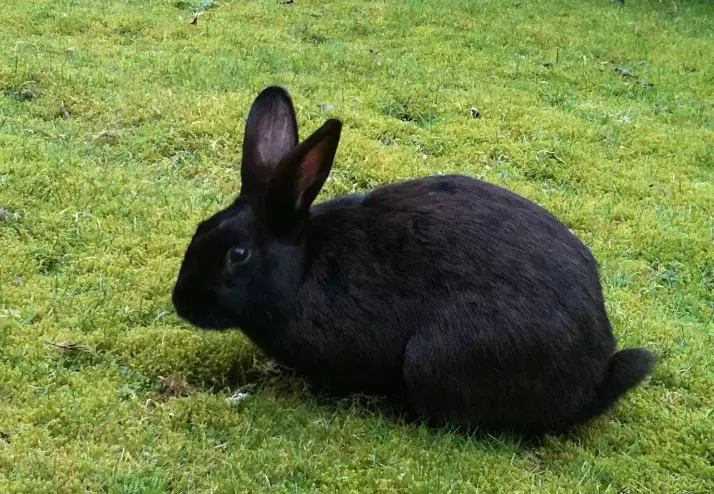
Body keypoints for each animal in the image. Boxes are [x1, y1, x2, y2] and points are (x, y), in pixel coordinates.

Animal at [172, 86, 656, 435]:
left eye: (238, 254)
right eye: (200, 228)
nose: (181, 303)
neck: (305, 267)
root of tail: (588, 385)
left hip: (436, 356)